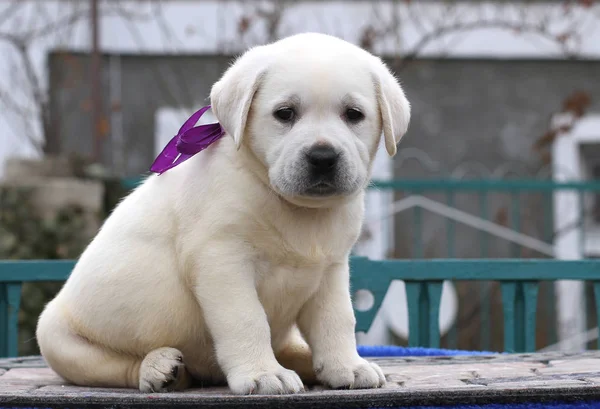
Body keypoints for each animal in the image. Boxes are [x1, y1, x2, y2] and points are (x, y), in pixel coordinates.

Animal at [37, 32, 410, 396]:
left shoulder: (330, 270)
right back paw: (159, 368)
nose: (323, 157)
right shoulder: (223, 261)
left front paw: (345, 366)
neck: (294, 207)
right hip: (60, 340)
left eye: (354, 114)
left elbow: (337, 320)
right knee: (118, 368)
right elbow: (247, 318)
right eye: (285, 113)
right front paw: (262, 373)